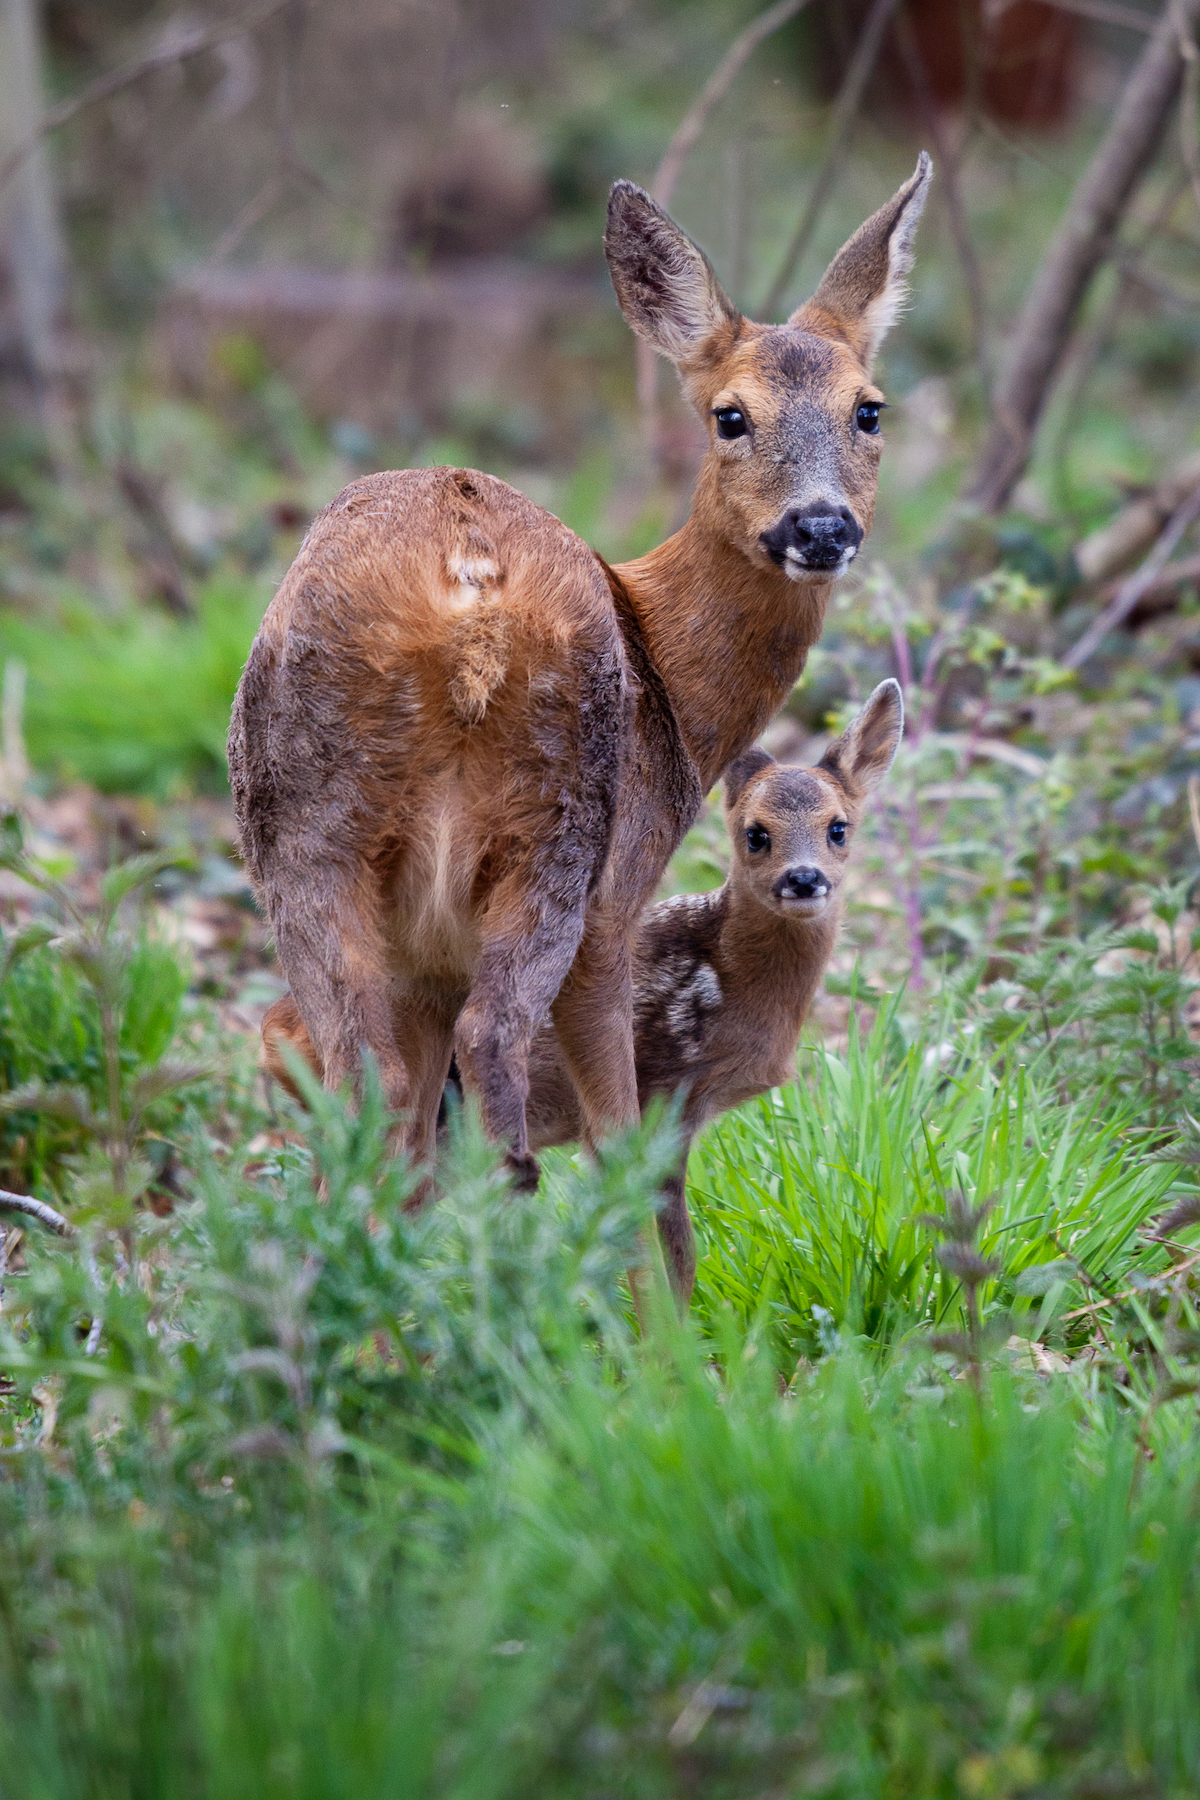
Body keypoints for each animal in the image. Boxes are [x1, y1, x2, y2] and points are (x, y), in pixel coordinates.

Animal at [230, 151, 935, 1252]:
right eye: (730, 415)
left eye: (870, 408)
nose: (820, 527)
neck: (673, 677)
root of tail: (464, 584)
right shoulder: (621, 895)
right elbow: (621, 1138)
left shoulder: (426, 955)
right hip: (556, 831)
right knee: (496, 1051)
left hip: (299, 823)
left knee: (363, 1080)